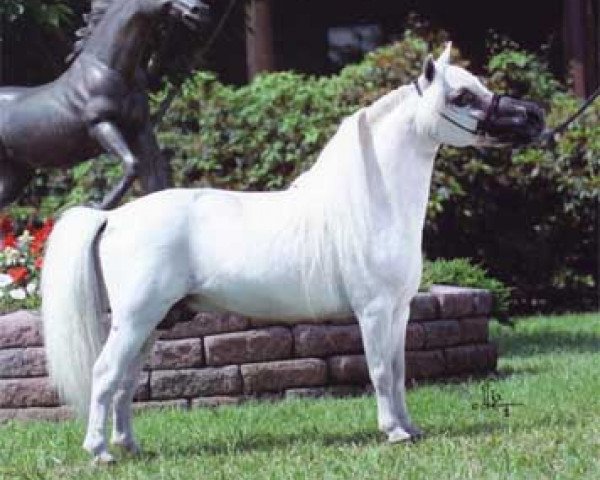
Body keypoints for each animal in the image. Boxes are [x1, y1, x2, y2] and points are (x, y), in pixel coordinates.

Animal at [41, 43, 544, 464]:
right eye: (461, 96)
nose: (534, 116)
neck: (371, 203)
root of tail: (113, 217)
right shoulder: (374, 311)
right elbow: (381, 370)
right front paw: (393, 433)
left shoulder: (400, 311)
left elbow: (400, 371)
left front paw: (410, 428)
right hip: (136, 318)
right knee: (105, 374)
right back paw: (100, 452)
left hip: (152, 322)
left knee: (125, 382)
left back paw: (130, 446)